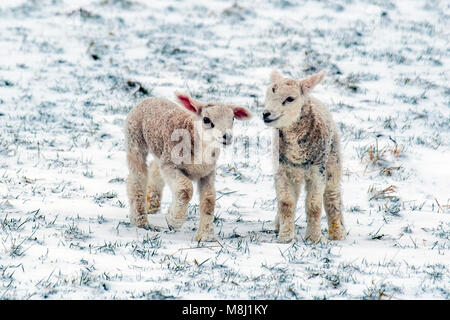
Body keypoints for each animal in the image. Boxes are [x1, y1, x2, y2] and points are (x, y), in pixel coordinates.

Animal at [125, 91, 251, 241]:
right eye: (206, 119)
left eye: (232, 118)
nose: (227, 137)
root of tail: (150, 98)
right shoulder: (170, 165)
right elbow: (185, 190)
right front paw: (173, 220)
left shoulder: (207, 172)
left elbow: (209, 199)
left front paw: (206, 235)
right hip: (135, 140)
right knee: (137, 178)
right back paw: (140, 220)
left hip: (160, 151)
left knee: (154, 169)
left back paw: (152, 204)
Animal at [262, 70, 346, 242]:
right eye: (269, 94)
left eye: (290, 98)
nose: (266, 114)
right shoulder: (281, 171)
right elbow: (286, 203)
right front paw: (285, 237)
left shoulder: (317, 172)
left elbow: (314, 206)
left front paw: (313, 238)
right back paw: (278, 224)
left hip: (332, 161)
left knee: (332, 195)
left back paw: (337, 232)